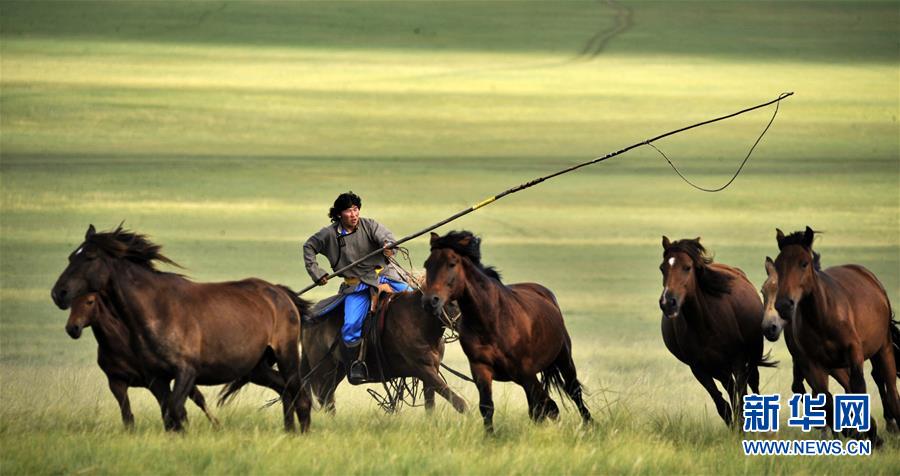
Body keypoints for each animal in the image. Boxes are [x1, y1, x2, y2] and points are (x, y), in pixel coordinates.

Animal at [65, 292, 220, 430]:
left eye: (89, 301)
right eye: (71, 302)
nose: (72, 328)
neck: (121, 343)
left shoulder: (154, 380)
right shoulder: (116, 382)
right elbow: (127, 415)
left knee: (198, 399)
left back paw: (215, 424)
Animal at [420, 229, 592, 434]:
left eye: (451, 264)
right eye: (427, 264)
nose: (430, 301)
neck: (491, 320)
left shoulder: (526, 372)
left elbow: (547, 406)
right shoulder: (481, 369)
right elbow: (487, 407)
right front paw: (489, 436)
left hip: (562, 359)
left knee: (573, 392)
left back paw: (589, 425)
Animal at [656, 236, 776, 426]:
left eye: (687, 267)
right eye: (662, 268)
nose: (668, 302)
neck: (704, 326)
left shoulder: (738, 360)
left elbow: (741, 399)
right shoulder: (699, 368)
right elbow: (722, 405)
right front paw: (735, 427)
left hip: (750, 357)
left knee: (751, 384)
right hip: (719, 369)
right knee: (731, 390)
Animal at [772, 225, 900, 440]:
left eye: (804, 263)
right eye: (778, 266)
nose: (783, 304)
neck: (823, 318)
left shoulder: (854, 352)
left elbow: (858, 388)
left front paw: (867, 434)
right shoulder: (813, 364)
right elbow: (826, 399)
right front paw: (853, 432)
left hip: (883, 348)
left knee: (889, 386)